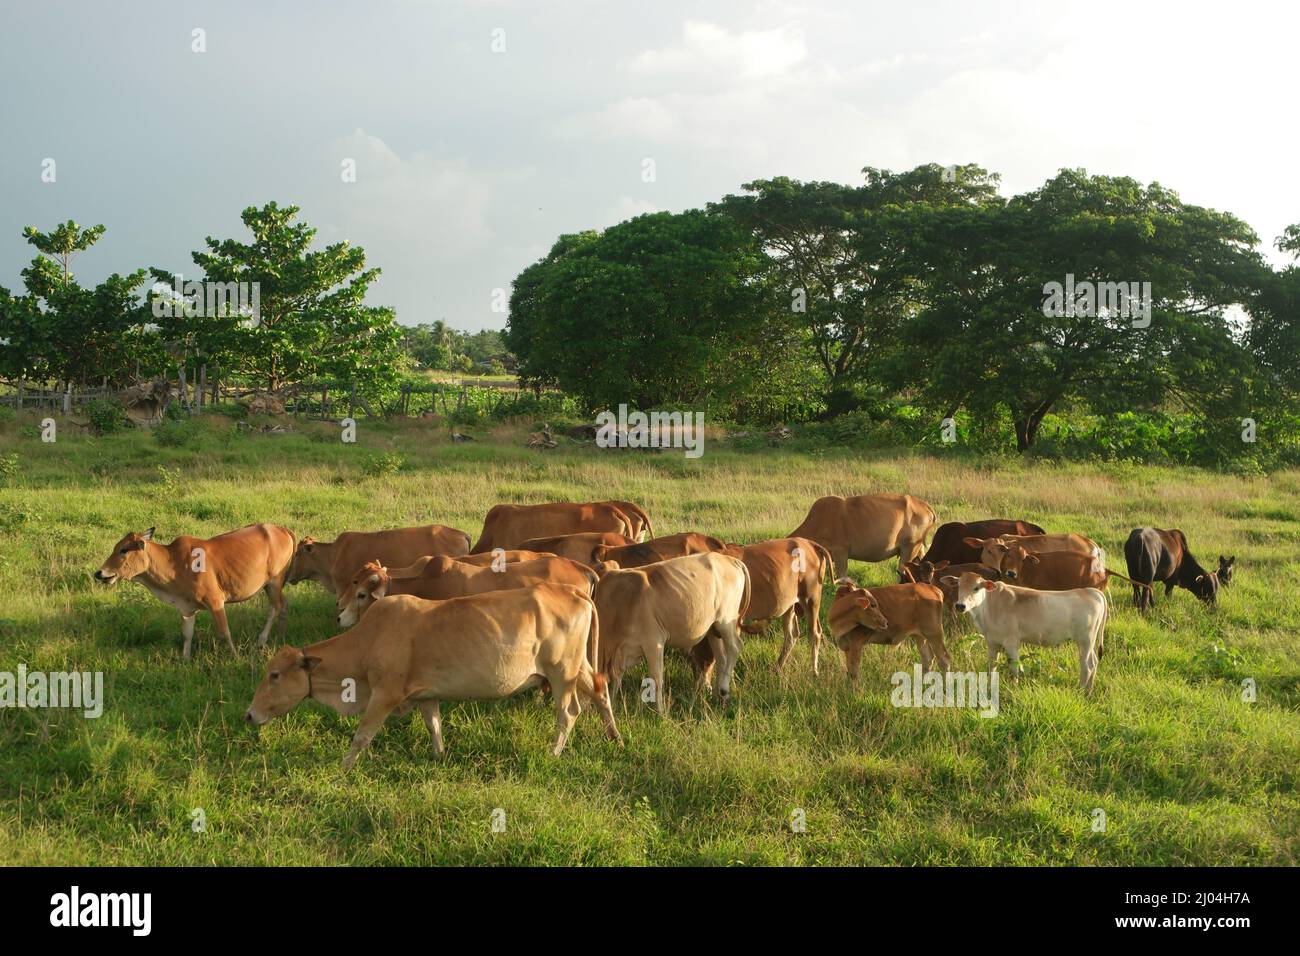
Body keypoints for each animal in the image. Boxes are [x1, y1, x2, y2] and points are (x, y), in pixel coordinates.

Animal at [94, 523, 295, 660]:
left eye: (124, 550)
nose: (100, 573)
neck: (174, 563)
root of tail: (282, 529)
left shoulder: (215, 601)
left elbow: (224, 632)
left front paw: (235, 656)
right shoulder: (186, 608)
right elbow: (187, 634)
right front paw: (185, 659)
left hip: (274, 583)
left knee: (276, 607)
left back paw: (262, 640)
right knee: (284, 605)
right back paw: (280, 636)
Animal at [245, 585, 622, 766]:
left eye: (274, 675)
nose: (249, 715)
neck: (369, 638)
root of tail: (574, 591)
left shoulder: (384, 695)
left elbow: (362, 736)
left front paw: (344, 766)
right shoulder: (427, 695)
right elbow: (434, 724)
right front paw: (439, 755)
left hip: (562, 673)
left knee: (568, 712)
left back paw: (555, 752)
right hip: (578, 668)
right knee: (600, 691)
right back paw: (615, 738)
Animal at [594, 552, 750, 714]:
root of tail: (730, 559)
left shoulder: (653, 642)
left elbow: (656, 678)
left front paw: (660, 712)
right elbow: (616, 679)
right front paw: (612, 703)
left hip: (725, 621)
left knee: (734, 647)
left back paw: (724, 690)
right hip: (713, 629)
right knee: (721, 657)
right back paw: (717, 696)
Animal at [944, 571, 1107, 692]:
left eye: (976, 588)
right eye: (958, 585)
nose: (960, 605)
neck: (988, 606)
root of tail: (1090, 591)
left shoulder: (1012, 642)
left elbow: (1014, 668)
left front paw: (1014, 688)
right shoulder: (992, 642)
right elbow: (992, 666)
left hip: (1085, 640)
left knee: (1087, 665)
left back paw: (1081, 691)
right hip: (1089, 642)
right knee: (1094, 662)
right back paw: (1089, 691)